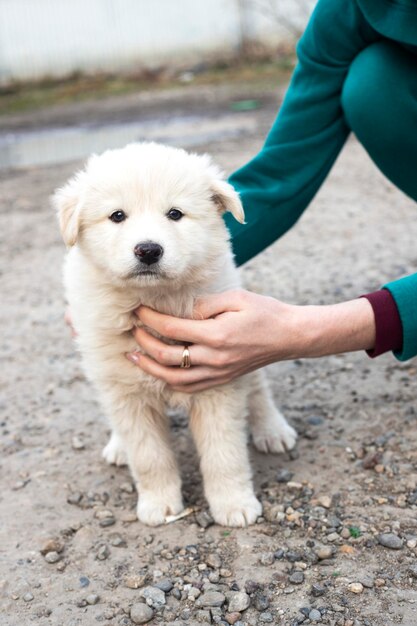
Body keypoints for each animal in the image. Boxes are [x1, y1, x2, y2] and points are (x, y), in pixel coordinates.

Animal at [54, 143, 296, 528]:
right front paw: (160, 505)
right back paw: (118, 446)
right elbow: (149, 456)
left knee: (258, 391)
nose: (148, 250)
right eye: (117, 216)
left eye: (175, 214)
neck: (155, 299)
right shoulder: (126, 390)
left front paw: (234, 504)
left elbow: (223, 452)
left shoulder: (218, 380)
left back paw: (272, 430)